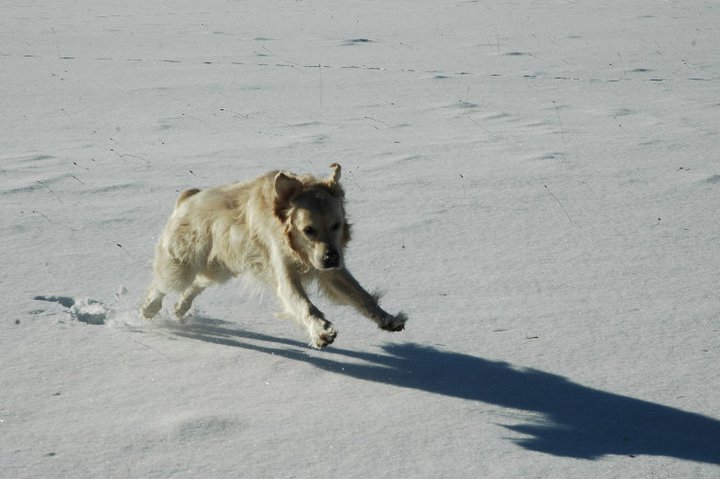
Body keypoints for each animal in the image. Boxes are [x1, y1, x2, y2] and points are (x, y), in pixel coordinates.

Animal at [143, 163, 408, 346]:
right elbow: (305, 306)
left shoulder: (332, 274)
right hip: (183, 263)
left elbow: (362, 296)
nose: (331, 258)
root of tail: (187, 199)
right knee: (162, 285)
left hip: (219, 267)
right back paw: (149, 309)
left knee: (196, 285)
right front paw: (321, 331)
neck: (298, 250)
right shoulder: (284, 273)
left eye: (337, 225)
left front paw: (388, 319)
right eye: (308, 230)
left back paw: (180, 308)